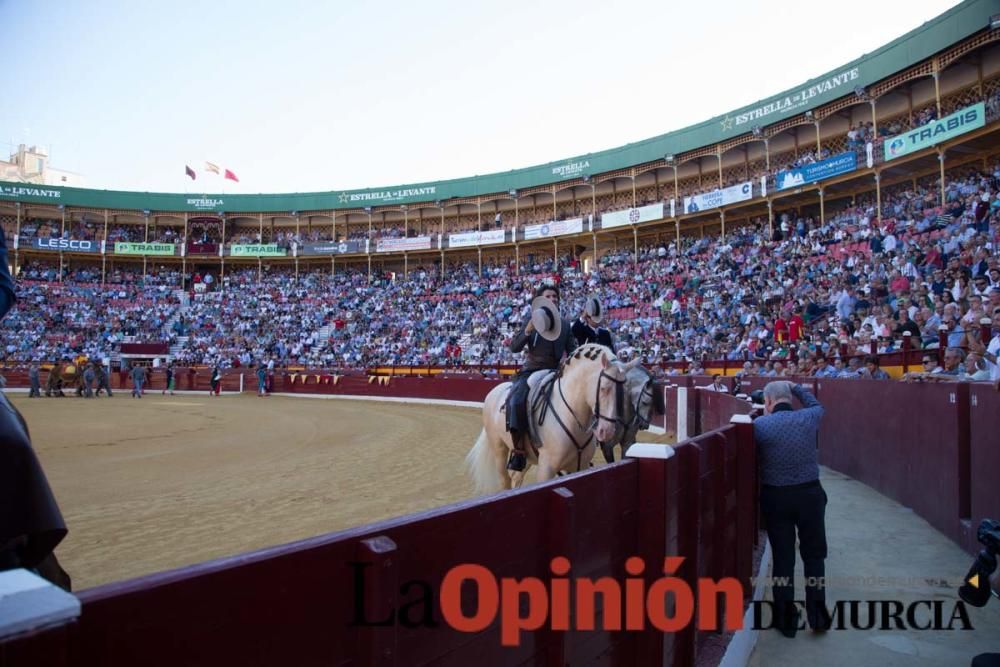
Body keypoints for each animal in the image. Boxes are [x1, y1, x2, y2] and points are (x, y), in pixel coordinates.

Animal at [462, 344, 636, 496]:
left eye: (625, 389)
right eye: (604, 388)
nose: (607, 431)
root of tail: (495, 391)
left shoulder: (581, 466)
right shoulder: (547, 468)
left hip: (527, 456)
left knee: (516, 477)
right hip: (499, 449)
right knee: (505, 480)